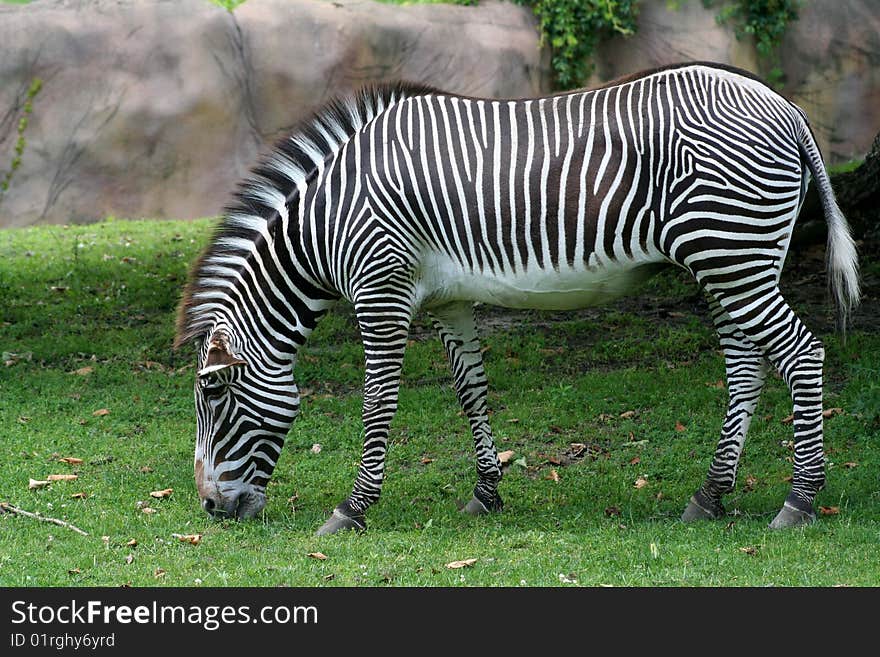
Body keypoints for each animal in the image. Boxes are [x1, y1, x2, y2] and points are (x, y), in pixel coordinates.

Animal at [175, 60, 856, 532]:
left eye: (214, 394)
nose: (208, 508)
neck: (326, 221)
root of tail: (786, 107)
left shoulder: (381, 288)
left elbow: (377, 405)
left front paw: (352, 510)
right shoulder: (446, 300)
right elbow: (470, 391)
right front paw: (486, 493)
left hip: (729, 252)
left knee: (802, 354)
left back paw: (799, 502)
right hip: (730, 261)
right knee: (745, 368)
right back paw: (709, 497)